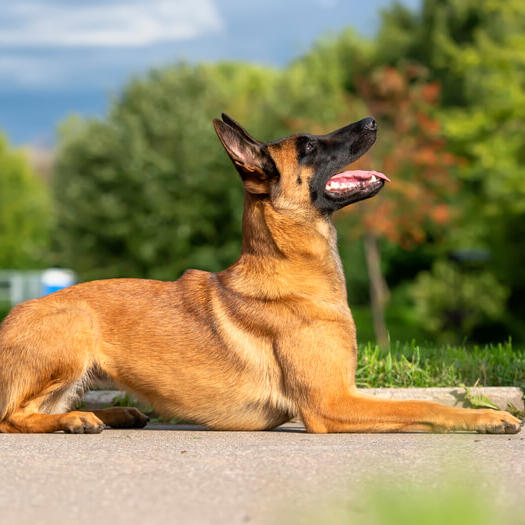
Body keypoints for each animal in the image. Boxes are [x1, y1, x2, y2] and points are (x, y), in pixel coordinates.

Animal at [0, 115, 520, 434]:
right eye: (308, 145)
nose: (372, 121)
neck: (289, 267)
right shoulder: (332, 403)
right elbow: (424, 406)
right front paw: (487, 417)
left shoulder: (344, 392)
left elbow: (420, 403)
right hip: (74, 326)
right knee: (13, 415)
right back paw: (76, 421)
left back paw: (116, 413)